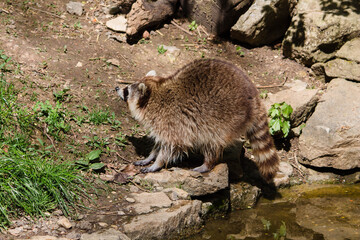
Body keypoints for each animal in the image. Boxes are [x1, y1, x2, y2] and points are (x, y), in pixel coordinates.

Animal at [116, 59, 280, 181]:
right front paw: (150, 156)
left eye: (127, 90)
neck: (154, 98)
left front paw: (158, 163)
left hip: (227, 116)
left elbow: (172, 146)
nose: (117, 88)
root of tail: (255, 97)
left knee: (212, 142)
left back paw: (208, 163)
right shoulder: (164, 124)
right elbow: (160, 143)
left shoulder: (172, 121)